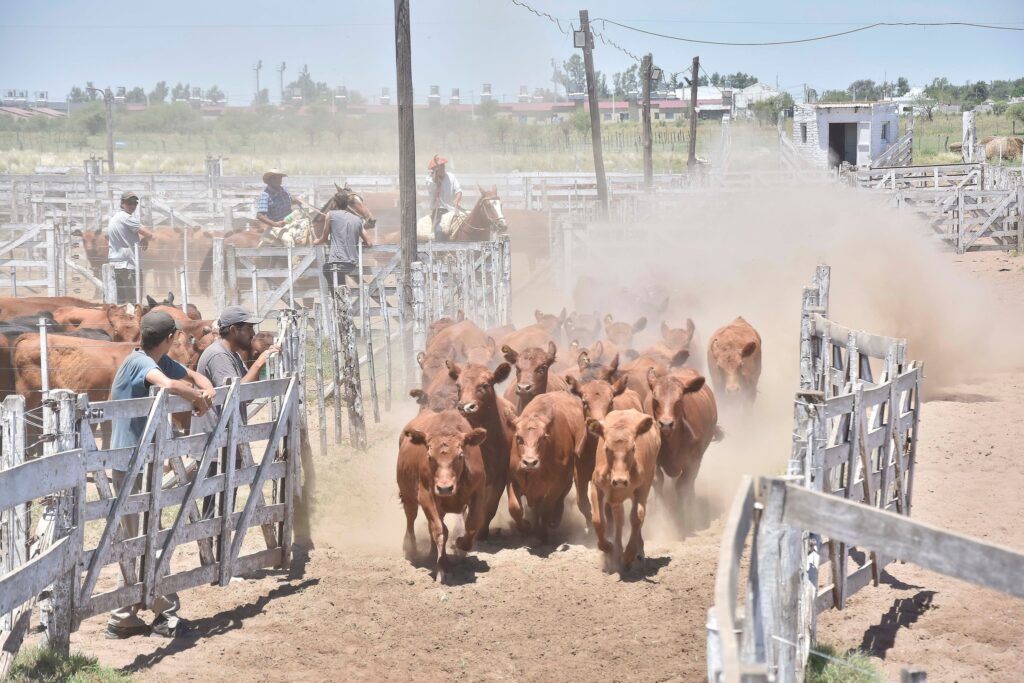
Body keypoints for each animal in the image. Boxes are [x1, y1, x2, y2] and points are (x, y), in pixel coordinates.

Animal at [396, 409, 488, 583]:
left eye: (460, 455)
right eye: (429, 456)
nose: (445, 488)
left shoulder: (479, 491)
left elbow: (472, 524)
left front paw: (461, 545)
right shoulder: (426, 496)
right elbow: (439, 531)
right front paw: (442, 569)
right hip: (408, 495)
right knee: (411, 518)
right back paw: (411, 549)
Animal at [447, 360, 515, 541]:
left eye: (484, 385)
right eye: (458, 385)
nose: (465, 407)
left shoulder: (499, 478)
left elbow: (490, 507)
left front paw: (481, 532)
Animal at [506, 392, 586, 543]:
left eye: (543, 437)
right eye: (519, 438)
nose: (530, 462)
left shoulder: (557, 485)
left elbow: (546, 508)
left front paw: (543, 534)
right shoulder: (512, 478)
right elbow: (515, 508)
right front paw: (525, 527)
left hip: (568, 480)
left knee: (559, 500)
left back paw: (554, 519)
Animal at [587, 409, 661, 572]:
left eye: (633, 448)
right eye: (607, 448)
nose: (620, 481)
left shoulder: (642, 488)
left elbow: (637, 517)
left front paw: (629, 556)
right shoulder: (596, 486)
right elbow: (598, 520)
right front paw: (609, 547)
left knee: (636, 518)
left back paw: (637, 553)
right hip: (616, 499)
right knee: (619, 520)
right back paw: (617, 551)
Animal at [645, 367, 720, 528]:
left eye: (679, 400)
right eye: (655, 399)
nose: (666, 424)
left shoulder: (694, 461)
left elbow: (683, 485)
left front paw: (680, 518)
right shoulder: (654, 459)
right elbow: (658, 481)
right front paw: (662, 516)